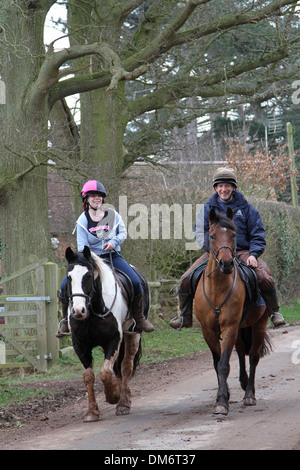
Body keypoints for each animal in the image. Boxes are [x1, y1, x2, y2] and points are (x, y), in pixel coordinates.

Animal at [193, 207, 270, 414]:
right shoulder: (208, 330)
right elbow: (216, 362)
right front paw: (224, 395)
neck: (217, 289)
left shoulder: (229, 326)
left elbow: (223, 364)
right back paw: (243, 382)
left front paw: (221, 402)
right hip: (240, 329)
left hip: (258, 325)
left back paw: (249, 394)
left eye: (234, 235)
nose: (226, 263)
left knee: (253, 357)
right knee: (242, 352)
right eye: (212, 235)